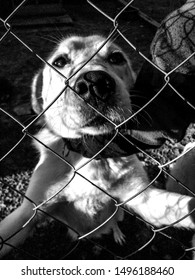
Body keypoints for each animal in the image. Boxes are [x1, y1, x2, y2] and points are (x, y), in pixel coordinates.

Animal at [0, 33, 195, 258]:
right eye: (60, 62)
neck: (91, 155)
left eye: (116, 58)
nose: (95, 82)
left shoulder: (141, 197)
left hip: (119, 213)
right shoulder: (27, 213)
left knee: (115, 222)